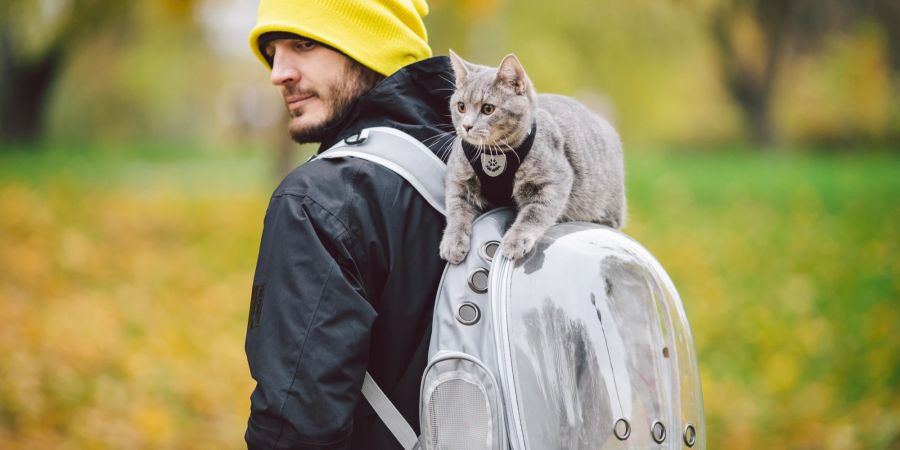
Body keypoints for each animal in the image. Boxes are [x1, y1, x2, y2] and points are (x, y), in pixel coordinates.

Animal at [438, 51, 624, 264]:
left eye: (488, 109)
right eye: (461, 107)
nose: (466, 126)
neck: (493, 154)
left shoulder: (553, 182)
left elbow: (534, 215)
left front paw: (515, 241)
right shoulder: (457, 180)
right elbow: (456, 212)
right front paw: (452, 241)